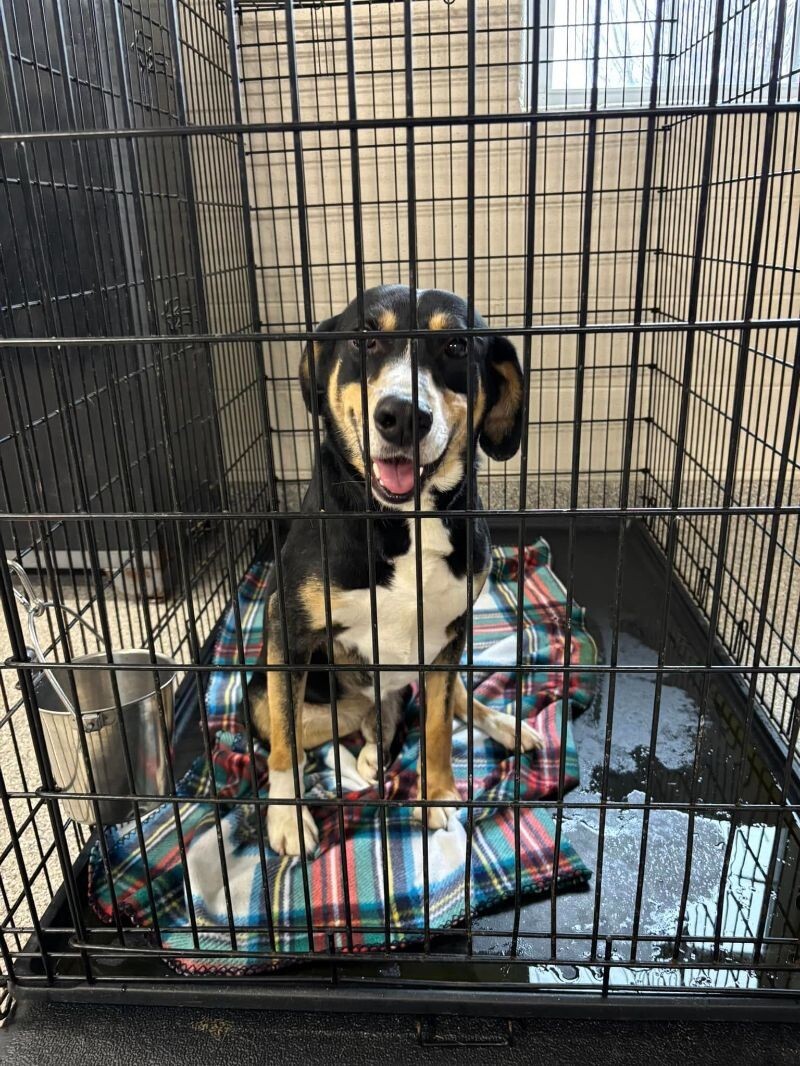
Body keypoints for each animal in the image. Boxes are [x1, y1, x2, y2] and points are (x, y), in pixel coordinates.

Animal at [253, 285, 541, 857]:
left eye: (455, 345)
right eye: (366, 339)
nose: (403, 416)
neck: (406, 519)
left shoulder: (452, 634)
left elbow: (437, 723)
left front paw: (439, 792)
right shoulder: (287, 628)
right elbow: (286, 742)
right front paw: (288, 817)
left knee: (448, 700)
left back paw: (503, 725)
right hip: (275, 693)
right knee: (322, 722)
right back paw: (367, 747)